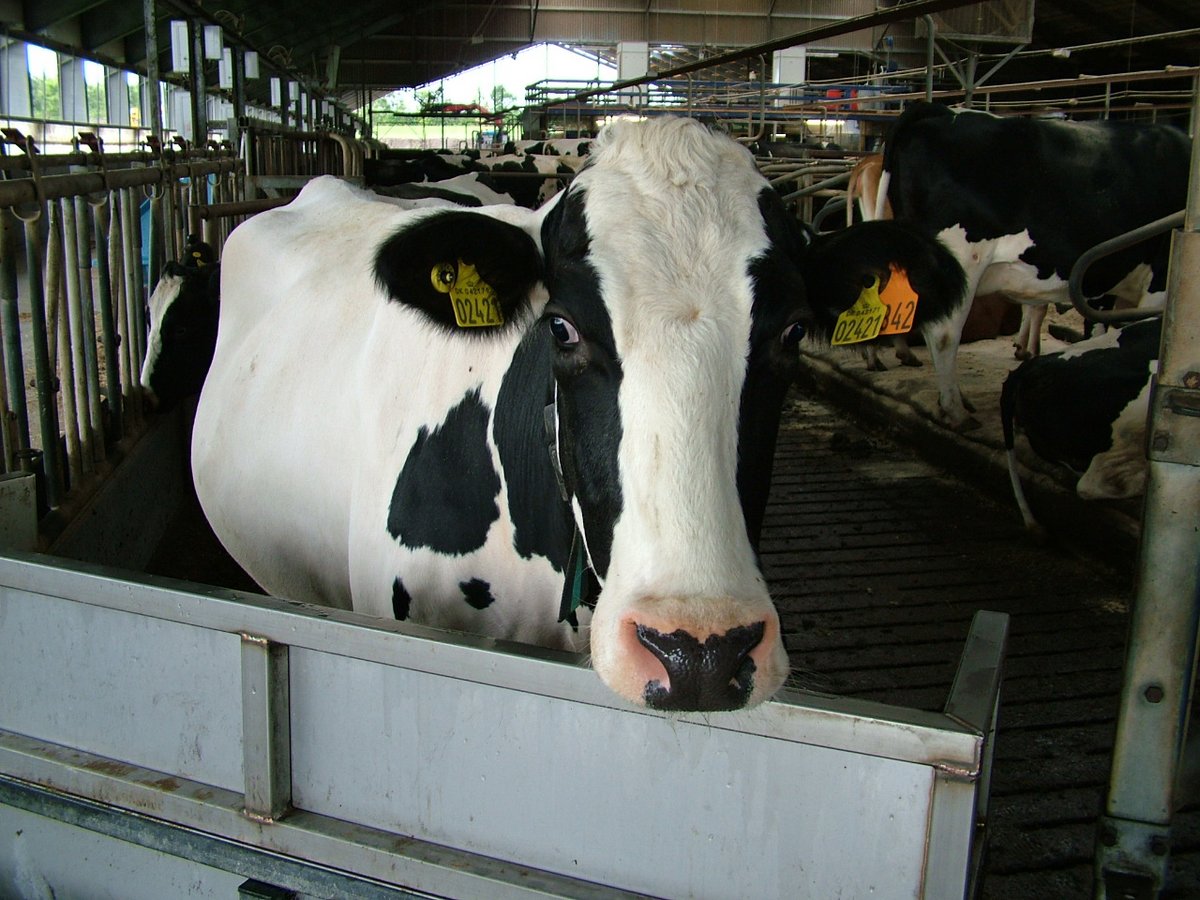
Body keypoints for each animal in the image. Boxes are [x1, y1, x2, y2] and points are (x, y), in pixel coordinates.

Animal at [879, 102, 1189, 429]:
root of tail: (939, 109)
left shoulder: (1103, 282)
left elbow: (1098, 333)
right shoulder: (1159, 278)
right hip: (961, 260)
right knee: (944, 334)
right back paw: (955, 410)